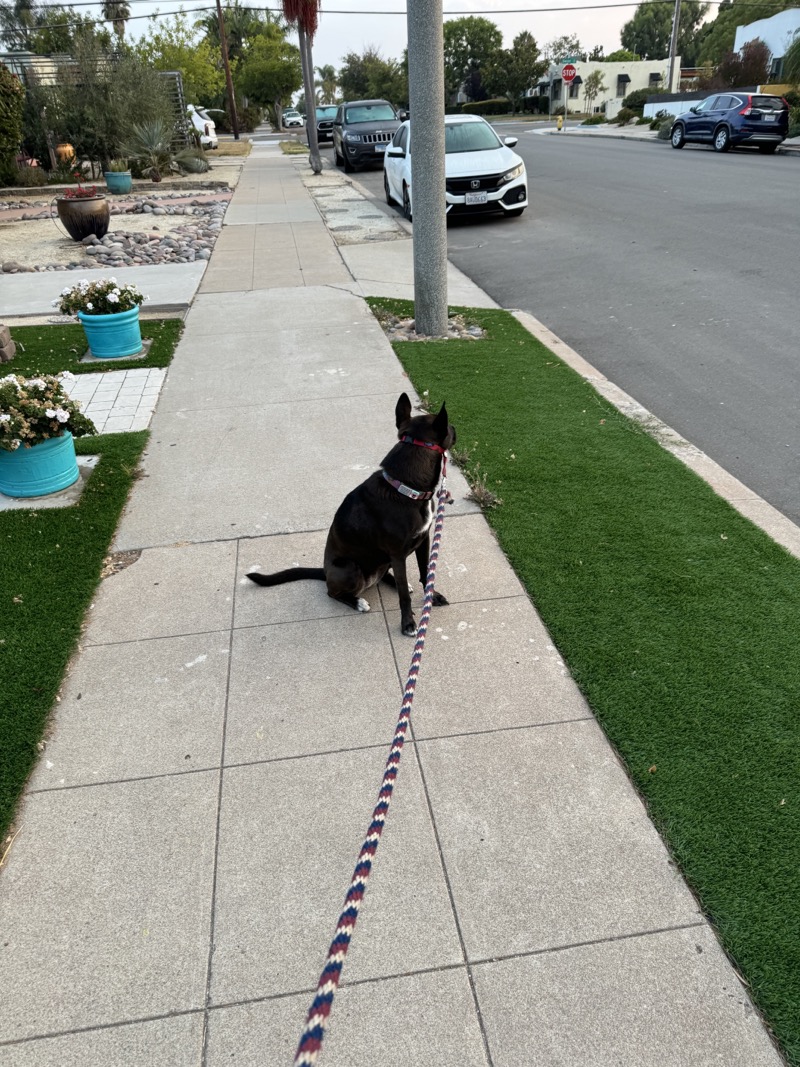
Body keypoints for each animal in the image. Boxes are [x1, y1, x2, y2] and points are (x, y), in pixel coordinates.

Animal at [247, 399, 454, 631]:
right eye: (449, 427)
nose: (455, 429)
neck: (405, 488)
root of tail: (325, 571)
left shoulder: (423, 540)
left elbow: (426, 573)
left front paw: (432, 597)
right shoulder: (397, 554)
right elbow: (403, 596)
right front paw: (408, 623)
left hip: (382, 561)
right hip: (350, 568)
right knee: (332, 592)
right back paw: (357, 602)